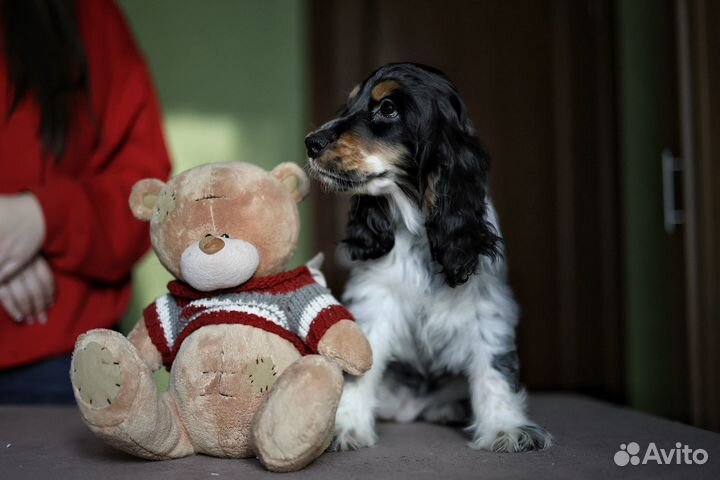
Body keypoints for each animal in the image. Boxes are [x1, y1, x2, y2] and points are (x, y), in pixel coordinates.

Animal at [304, 62, 552, 452]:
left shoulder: (487, 304)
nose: (311, 143)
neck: (419, 229)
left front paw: (506, 428)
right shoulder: (375, 298)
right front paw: (345, 425)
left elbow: (494, 365)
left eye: (388, 108)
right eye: (350, 103)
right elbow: (359, 366)